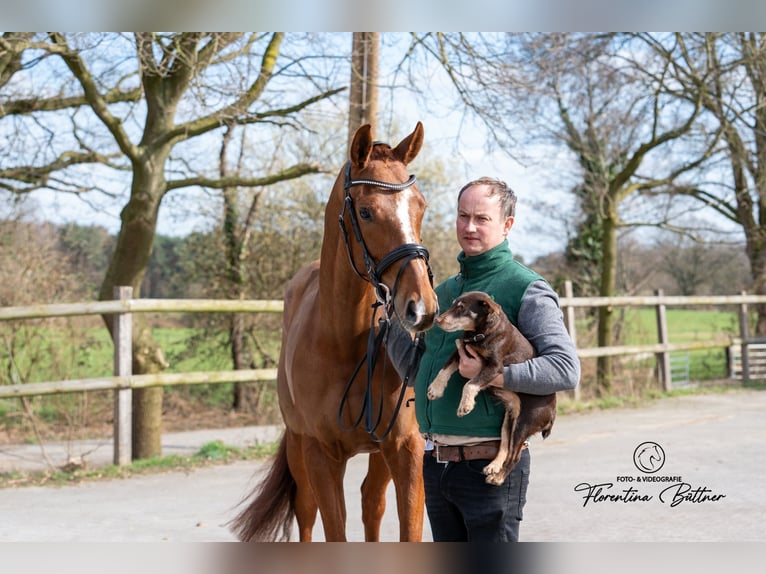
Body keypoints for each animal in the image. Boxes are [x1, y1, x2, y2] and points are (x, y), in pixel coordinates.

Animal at [230, 122, 438, 542]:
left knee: (371, 503)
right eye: (366, 211)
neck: (345, 343)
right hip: (298, 448)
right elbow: (332, 526)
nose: (421, 306)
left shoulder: (405, 449)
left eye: (420, 206)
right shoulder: (321, 455)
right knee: (306, 512)